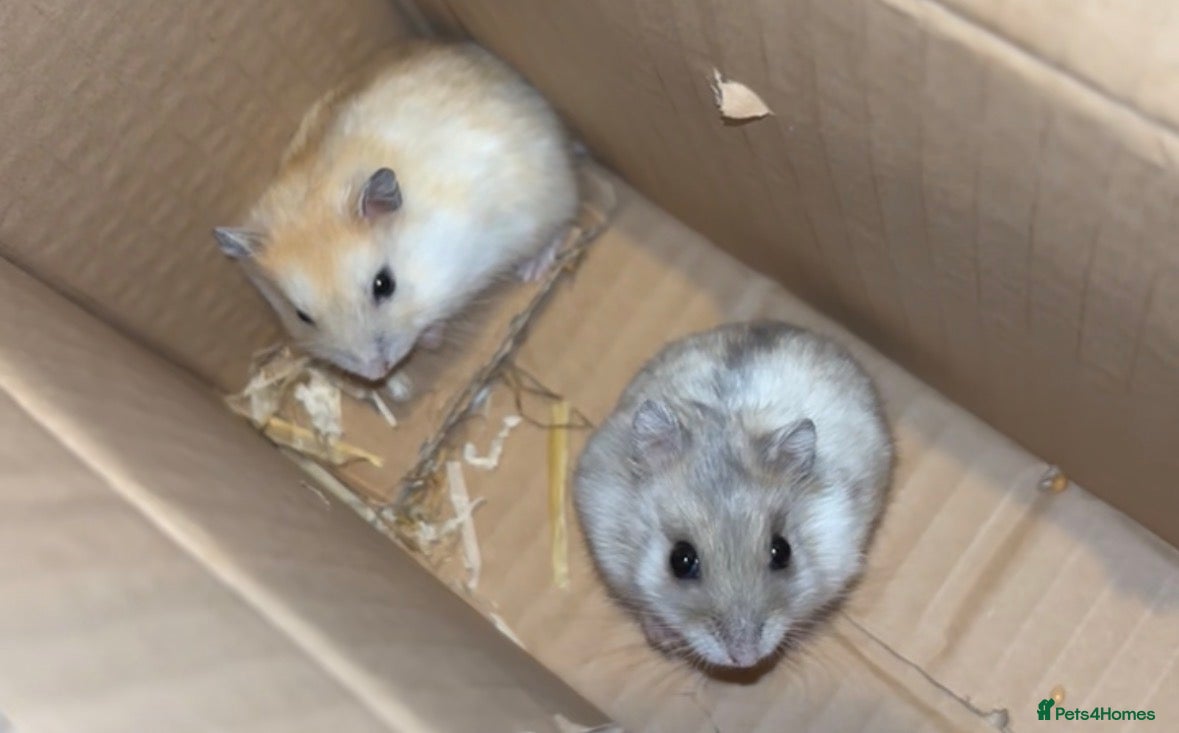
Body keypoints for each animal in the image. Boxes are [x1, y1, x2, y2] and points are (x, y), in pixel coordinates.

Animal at [213, 40, 579, 382]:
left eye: (384, 285)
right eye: (302, 316)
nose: (377, 372)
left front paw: (431, 338)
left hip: (548, 200)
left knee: (560, 226)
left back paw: (531, 271)